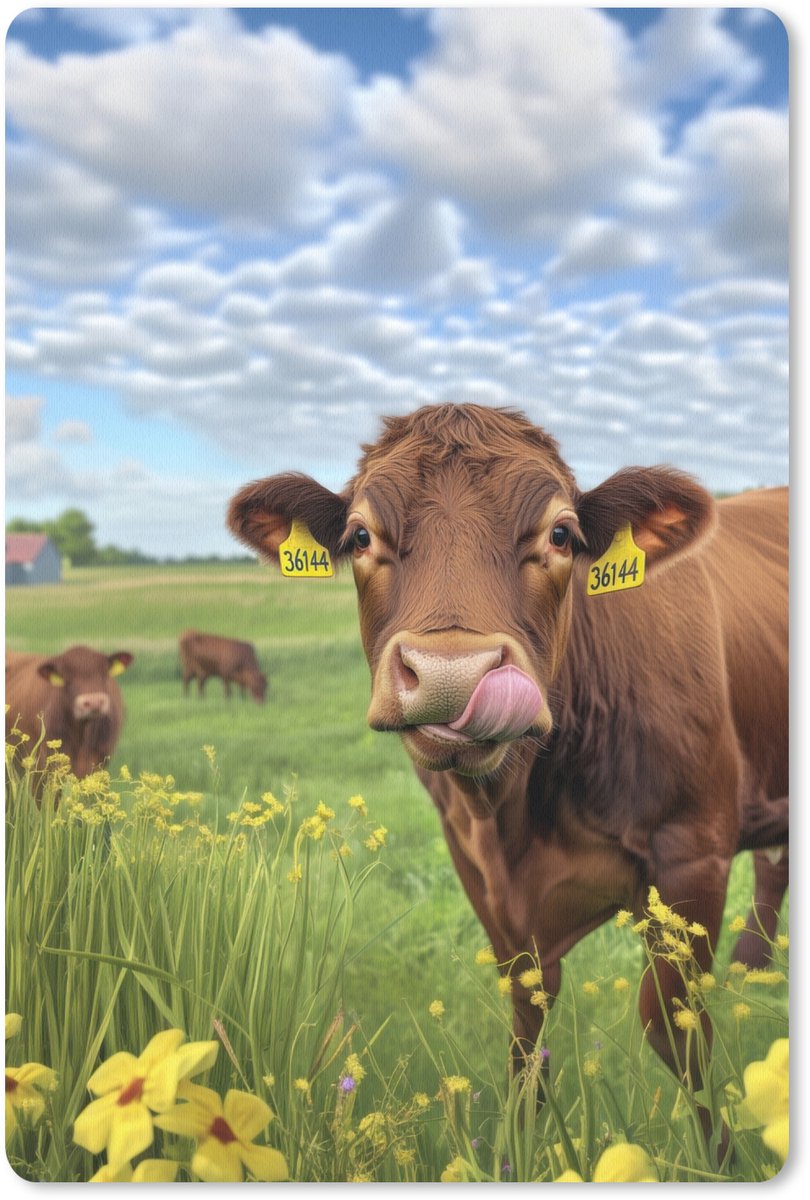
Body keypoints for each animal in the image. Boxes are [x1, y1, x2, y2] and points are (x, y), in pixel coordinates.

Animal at [226, 402, 788, 1114]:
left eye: (562, 534)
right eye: (359, 536)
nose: (452, 675)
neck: (517, 811)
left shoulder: (694, 851)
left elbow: (675, 1027)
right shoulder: (477, 866)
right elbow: (527, 1025)